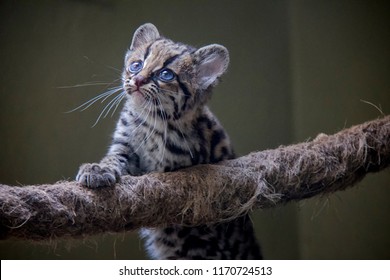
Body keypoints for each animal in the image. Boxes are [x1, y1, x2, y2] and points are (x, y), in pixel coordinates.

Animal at [76, 23, 262, 260]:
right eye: (136, 65)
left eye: (166, 74)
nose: (137, 80)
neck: (149, 120)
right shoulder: (125, 147)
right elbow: (113, 159)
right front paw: (97, 169)